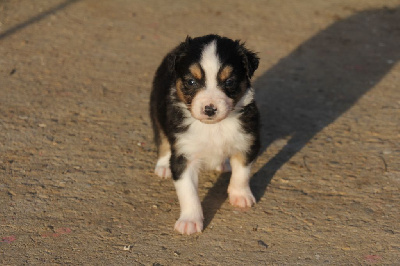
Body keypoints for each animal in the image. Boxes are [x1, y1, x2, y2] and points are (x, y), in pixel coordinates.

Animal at [149, 33, 260, 235]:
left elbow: (242, 173)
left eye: (229, 82)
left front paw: (240, 196)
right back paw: (163, 166)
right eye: (191, 82)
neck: (214, 127)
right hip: (156, 108)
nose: (209, 109)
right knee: (162, 139)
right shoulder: (184, 155)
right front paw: (190, 221)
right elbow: (188, 192)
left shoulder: (247, 142)